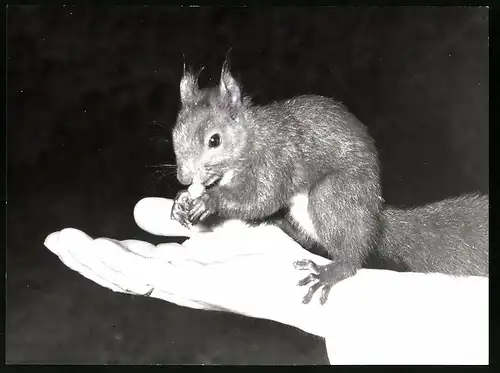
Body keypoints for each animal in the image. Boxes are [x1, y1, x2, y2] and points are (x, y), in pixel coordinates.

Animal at [171, 61, 488, 306]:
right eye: (175, 135)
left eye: (215, 140)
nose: (184, 178)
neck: (253, 136)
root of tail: (375, 219)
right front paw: (180, 201)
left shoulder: (276, 161)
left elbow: (261, 197)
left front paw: (208, 200)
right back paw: (280, 225)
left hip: (334, 195)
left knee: (351, 255)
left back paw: (329, 272)